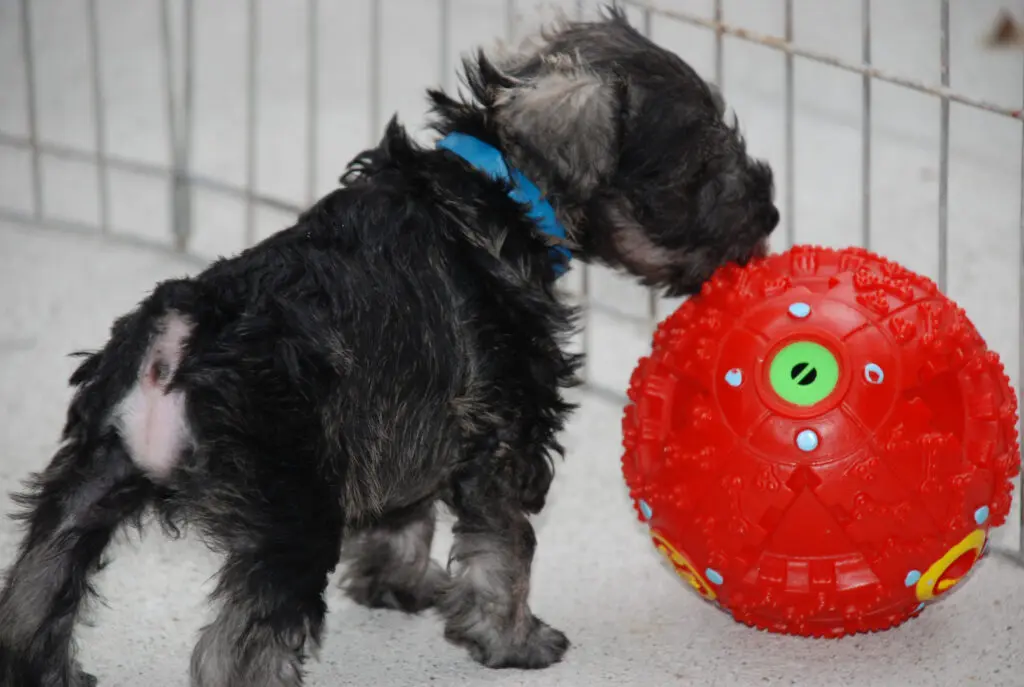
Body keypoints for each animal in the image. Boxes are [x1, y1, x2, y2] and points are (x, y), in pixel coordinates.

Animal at [0, 6, 774, 687]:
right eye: (702, 165)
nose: (769, 211)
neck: (503, 188)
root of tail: (179, 338)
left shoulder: (407, 422)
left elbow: (405, 514)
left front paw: (395, 585)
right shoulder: (504, 437)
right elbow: (507, 549)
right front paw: (513, 640)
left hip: (87, 482)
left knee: (36, 593)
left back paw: (51, 670)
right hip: (291, 517)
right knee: (237, 649)